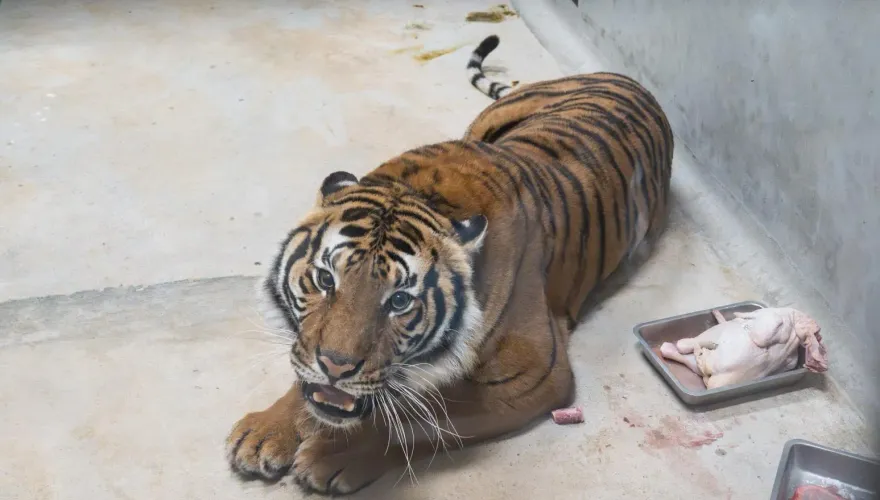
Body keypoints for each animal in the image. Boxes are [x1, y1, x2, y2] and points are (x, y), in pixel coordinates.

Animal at [226, 34, 673, 495]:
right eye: (324, 279)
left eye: (400, 301)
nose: (336, 366)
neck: (422, 192)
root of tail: (624, 78)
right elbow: (305, 368)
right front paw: (266, 430)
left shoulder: (535, 372)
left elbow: (420, 418)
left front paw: (331, 454)